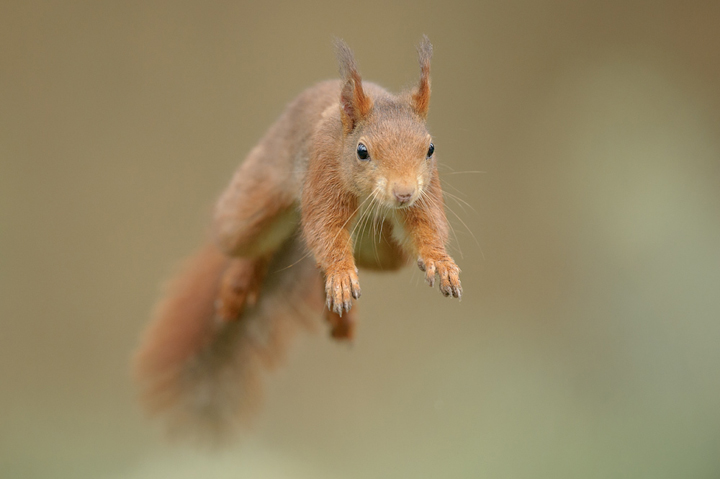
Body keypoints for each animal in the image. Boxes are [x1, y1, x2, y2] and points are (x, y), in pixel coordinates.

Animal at [133, 36, 462, 442]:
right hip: (249, 209)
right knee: (250, 241)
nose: (403, 193)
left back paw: (338, 309)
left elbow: (428, 227)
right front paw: (340, 273)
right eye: (362, 151)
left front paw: (440, 262)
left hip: (382, 250)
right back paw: (242, 280)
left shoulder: (425, 196)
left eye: (430, 149)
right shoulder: (322, 180)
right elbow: (325, 232)